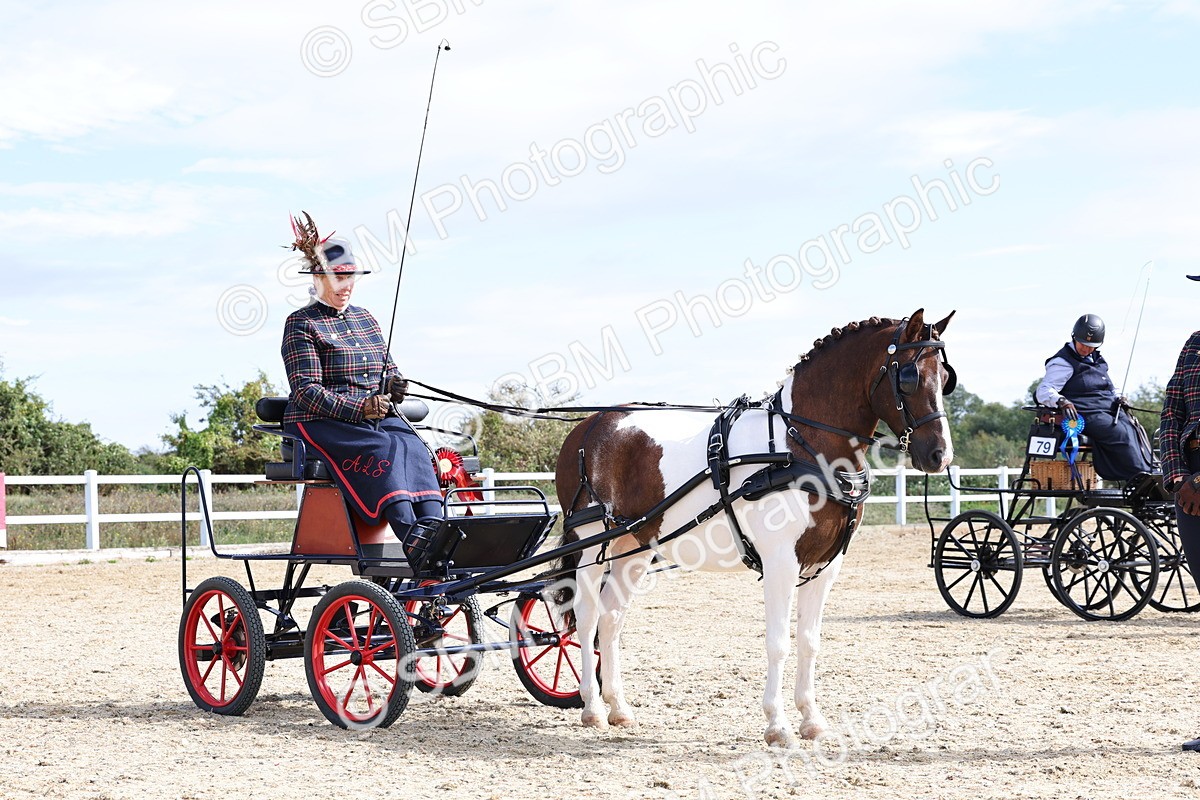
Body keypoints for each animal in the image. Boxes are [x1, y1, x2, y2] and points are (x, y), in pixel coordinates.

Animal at [552, 309, 956, 746]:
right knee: (586, 615)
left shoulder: (826, 565)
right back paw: (592, 708)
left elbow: (809, 642)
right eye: (910, 376)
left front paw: (811, 719)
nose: (940, 455)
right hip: (590, 542)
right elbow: (778, 643)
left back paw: (619, 708)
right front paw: (777, 725)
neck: (799, 443)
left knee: (611, 618)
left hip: (634, 544)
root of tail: (590, 424)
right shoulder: (781, 562)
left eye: (945, 376)